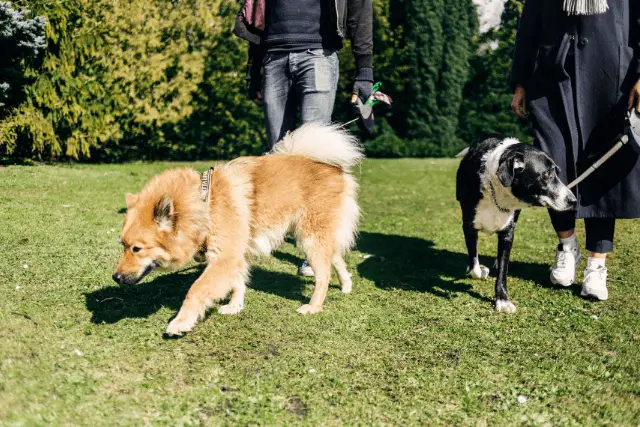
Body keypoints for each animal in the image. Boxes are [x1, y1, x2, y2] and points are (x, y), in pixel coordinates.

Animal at [113, 123, 362, 338]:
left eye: (137, 249)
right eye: (123, 245)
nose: (115, 277)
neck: (206, 206)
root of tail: (334, 168)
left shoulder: (225, 257)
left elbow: (197, 290)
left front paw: (180, 322)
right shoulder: (234, 255)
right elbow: (237, 283)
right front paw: (235, 306)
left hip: (309, 237)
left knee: (324, 274)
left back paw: (313, 306)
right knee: (336, 257)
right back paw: (346, 285)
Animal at [458, 139, 576, 312]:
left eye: (557, 173)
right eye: (547, 174)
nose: (573, 200)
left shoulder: (508, 232)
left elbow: (503, 270)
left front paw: (502, 300)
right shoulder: (469, 227)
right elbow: (474, 265)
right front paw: (481, 271)